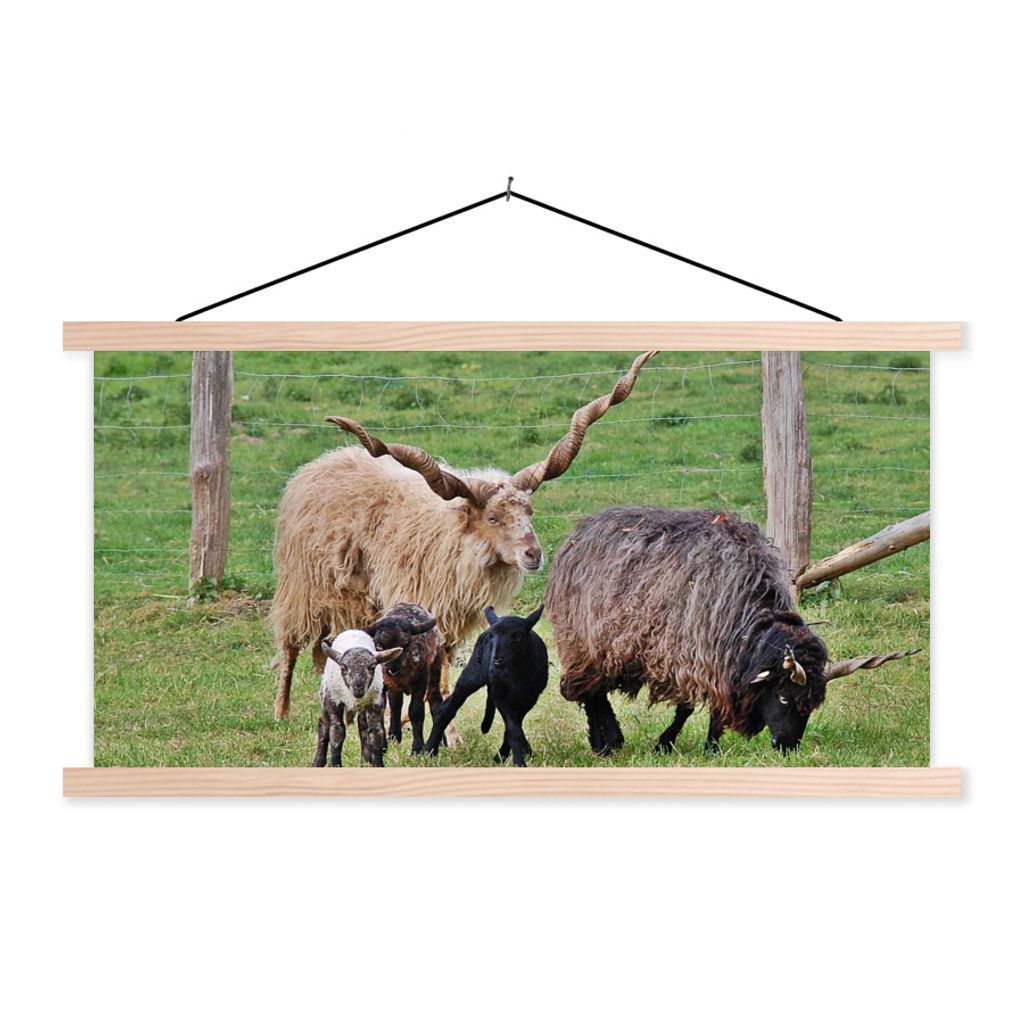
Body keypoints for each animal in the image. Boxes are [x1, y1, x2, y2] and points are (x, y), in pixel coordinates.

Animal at [271, 351, 656, 720]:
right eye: (493, 517)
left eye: (529, 512)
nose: (533, 555)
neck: (454, 536)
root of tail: (319, 465)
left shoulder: (448, 627)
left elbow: (439, 681)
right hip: (303, 588)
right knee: (289, 646)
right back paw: (282, 712)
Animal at [314, 629, 403, 767]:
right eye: (343, 667)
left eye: (372, 667)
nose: (358, 687)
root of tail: (352, 630)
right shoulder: (334, 702)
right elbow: (336, 733)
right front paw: (336, 764)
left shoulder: (375, 704)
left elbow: (375, 735)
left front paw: (377, 764)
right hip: (326, 696)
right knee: (323, 725)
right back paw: (318, 762)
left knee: (363, 726)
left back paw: (365, 760)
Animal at [363, 603, 445, 754]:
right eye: (379, 646)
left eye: (406, 645)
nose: (391, 669)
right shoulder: (382, 686)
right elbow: (381, 711)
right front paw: (381, 747)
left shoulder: (420, 681)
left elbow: (416, 711)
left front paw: (417, 749)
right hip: (394, 688)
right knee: (396, 705)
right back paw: (394, 737)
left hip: (435, 670)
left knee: (435, 701)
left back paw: (439, 744)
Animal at [424, 605, 547, 767]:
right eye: (491, 637)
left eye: (518, 637)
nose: (496, 660)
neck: (516, 672)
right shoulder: (499, 693)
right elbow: (513, 729)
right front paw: (519, 762)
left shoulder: (530, 698)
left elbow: (513, 727)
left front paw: (506, 756)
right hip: (471, 676)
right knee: (447, 708)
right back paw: (428, 750)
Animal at [545, 507, 919, 754]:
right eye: (784, 697)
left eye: (812, 706)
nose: (786, 748)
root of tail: (581, 529)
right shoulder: (687, 653)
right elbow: (686, 708)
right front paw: (665, 743)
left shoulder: (722, 663)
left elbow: (715, 711)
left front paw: (711, 747)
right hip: (586, 642)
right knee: (589, 692)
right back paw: (605, 743)